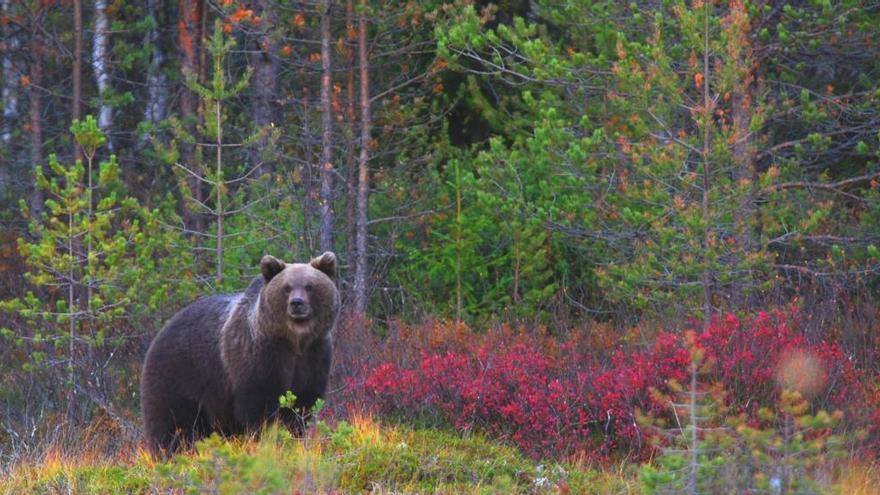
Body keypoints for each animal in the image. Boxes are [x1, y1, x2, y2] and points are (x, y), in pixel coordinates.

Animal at [141, 254, 336, 456]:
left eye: (309, 286)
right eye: (287, 287)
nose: (297, 303)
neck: (294, 341)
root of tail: (160, 333)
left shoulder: (314, 355)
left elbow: (303, 405)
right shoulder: (260, 356)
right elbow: (259, 407)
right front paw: (266, 441)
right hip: (176, 376)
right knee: (171, 425)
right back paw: (168, 453)